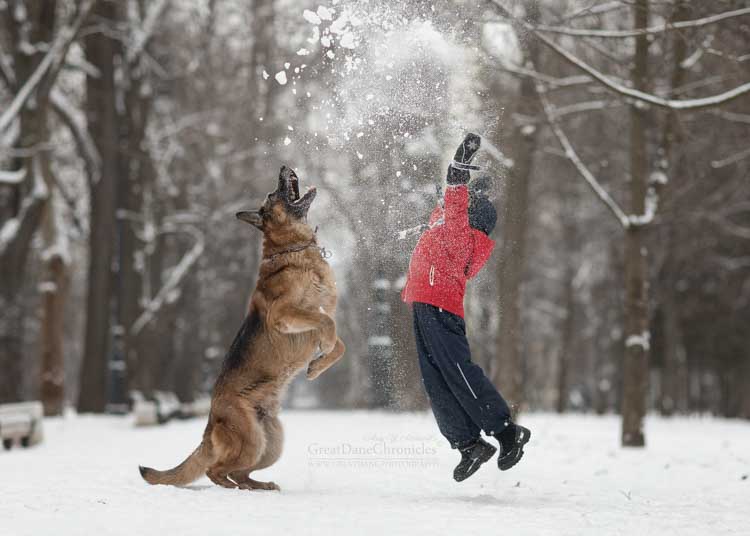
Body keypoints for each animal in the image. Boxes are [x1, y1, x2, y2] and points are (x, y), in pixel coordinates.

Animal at [140, 165, 346, 492]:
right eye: (273, 194)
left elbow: (340, 343)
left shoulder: (312, 319)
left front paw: (316, 366)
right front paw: (321, 355)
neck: (292, 250)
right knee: (215, 469)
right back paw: (234, 489)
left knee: (240, 472)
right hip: (251, 440)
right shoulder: (285, 314)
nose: (284, 167)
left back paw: (257, 486)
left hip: (271, 443)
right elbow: (329, 324)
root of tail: (210, 421)